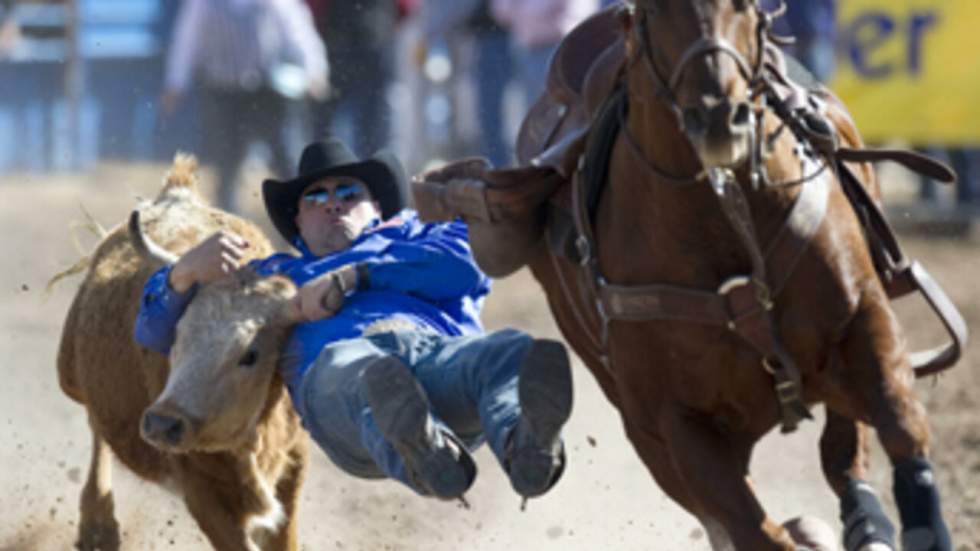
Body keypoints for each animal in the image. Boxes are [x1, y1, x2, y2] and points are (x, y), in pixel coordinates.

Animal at [512, 1, 956, 551]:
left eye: (745, 7)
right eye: (656, 10)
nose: (720, 117)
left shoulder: (861, 319)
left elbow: (899, 421)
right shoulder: (679, 421)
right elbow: (753, 528)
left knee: (843, 452)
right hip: (648, 428)